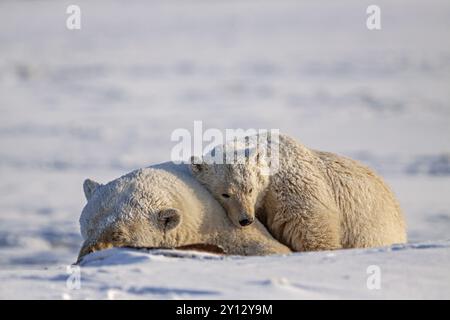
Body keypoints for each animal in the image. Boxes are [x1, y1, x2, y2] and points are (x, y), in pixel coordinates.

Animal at [190, 133, 408, 252]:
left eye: (250, 189)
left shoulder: (292, 190)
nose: (246, 220)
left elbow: (312, 230)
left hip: (372, 227)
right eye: (225, 194)